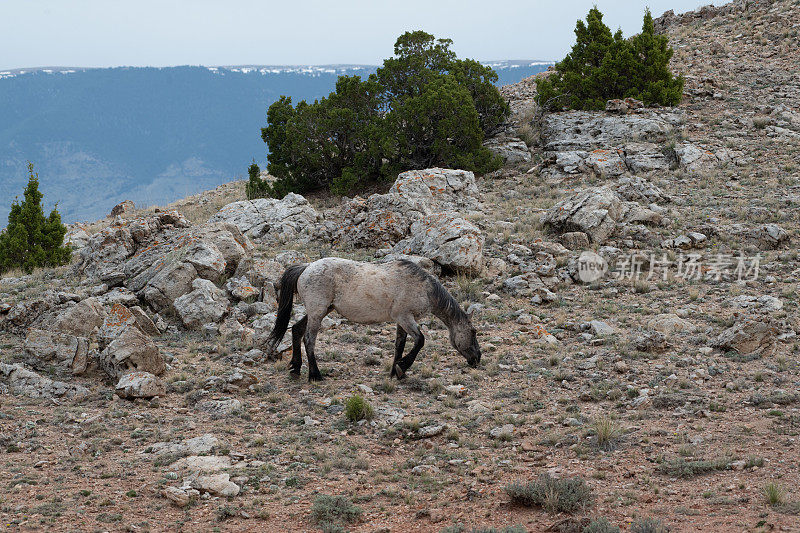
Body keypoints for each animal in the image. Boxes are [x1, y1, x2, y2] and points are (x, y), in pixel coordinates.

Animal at [268, 256, 482, 378]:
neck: (425, 289)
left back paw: (296, 368)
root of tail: (306, 267)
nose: (477, 358)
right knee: (308, 339)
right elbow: (420, 341)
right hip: (317, 312)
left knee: (296, 330)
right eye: (473, 332)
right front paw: (403, 367)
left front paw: (396, 372)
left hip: (322, 311)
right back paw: (315, 375)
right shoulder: (405, 318)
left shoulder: (401, 321)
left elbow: (399, 345)